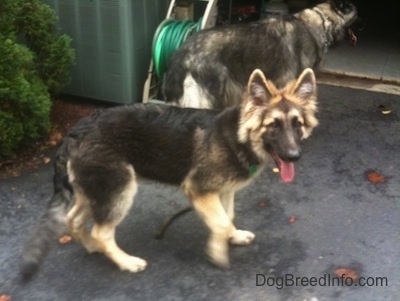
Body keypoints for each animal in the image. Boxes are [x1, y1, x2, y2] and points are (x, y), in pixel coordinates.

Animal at [20, 68, 318, 278]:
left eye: (297, 124)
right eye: (273, 125)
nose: (295, 156)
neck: (237, 137)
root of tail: (74, 132)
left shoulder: (222, 190)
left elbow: (227, 216)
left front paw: (232, 236)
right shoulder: (198, 190)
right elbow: (220, 223)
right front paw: (217, 252)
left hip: (96, 189)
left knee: (74, 219)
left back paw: (93, 246)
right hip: (120, 189)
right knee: (102, 231)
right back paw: (125, 261)